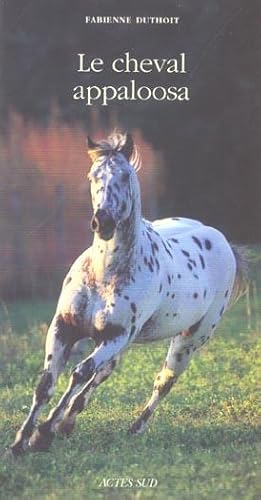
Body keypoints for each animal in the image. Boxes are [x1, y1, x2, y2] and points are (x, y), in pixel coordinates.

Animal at [9, 133, 246, 458]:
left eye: (124, 175)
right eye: (92, 176)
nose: (103, 223)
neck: (104, 273)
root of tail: (222, 241)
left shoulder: (116, 335)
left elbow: (80, 372)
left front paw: (42, 434)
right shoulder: (64, 328)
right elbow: (47, 382)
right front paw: (20, 442)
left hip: (188, 340)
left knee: (163, 381)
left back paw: (133, 428)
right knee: (104, 373)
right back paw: (68, 423)